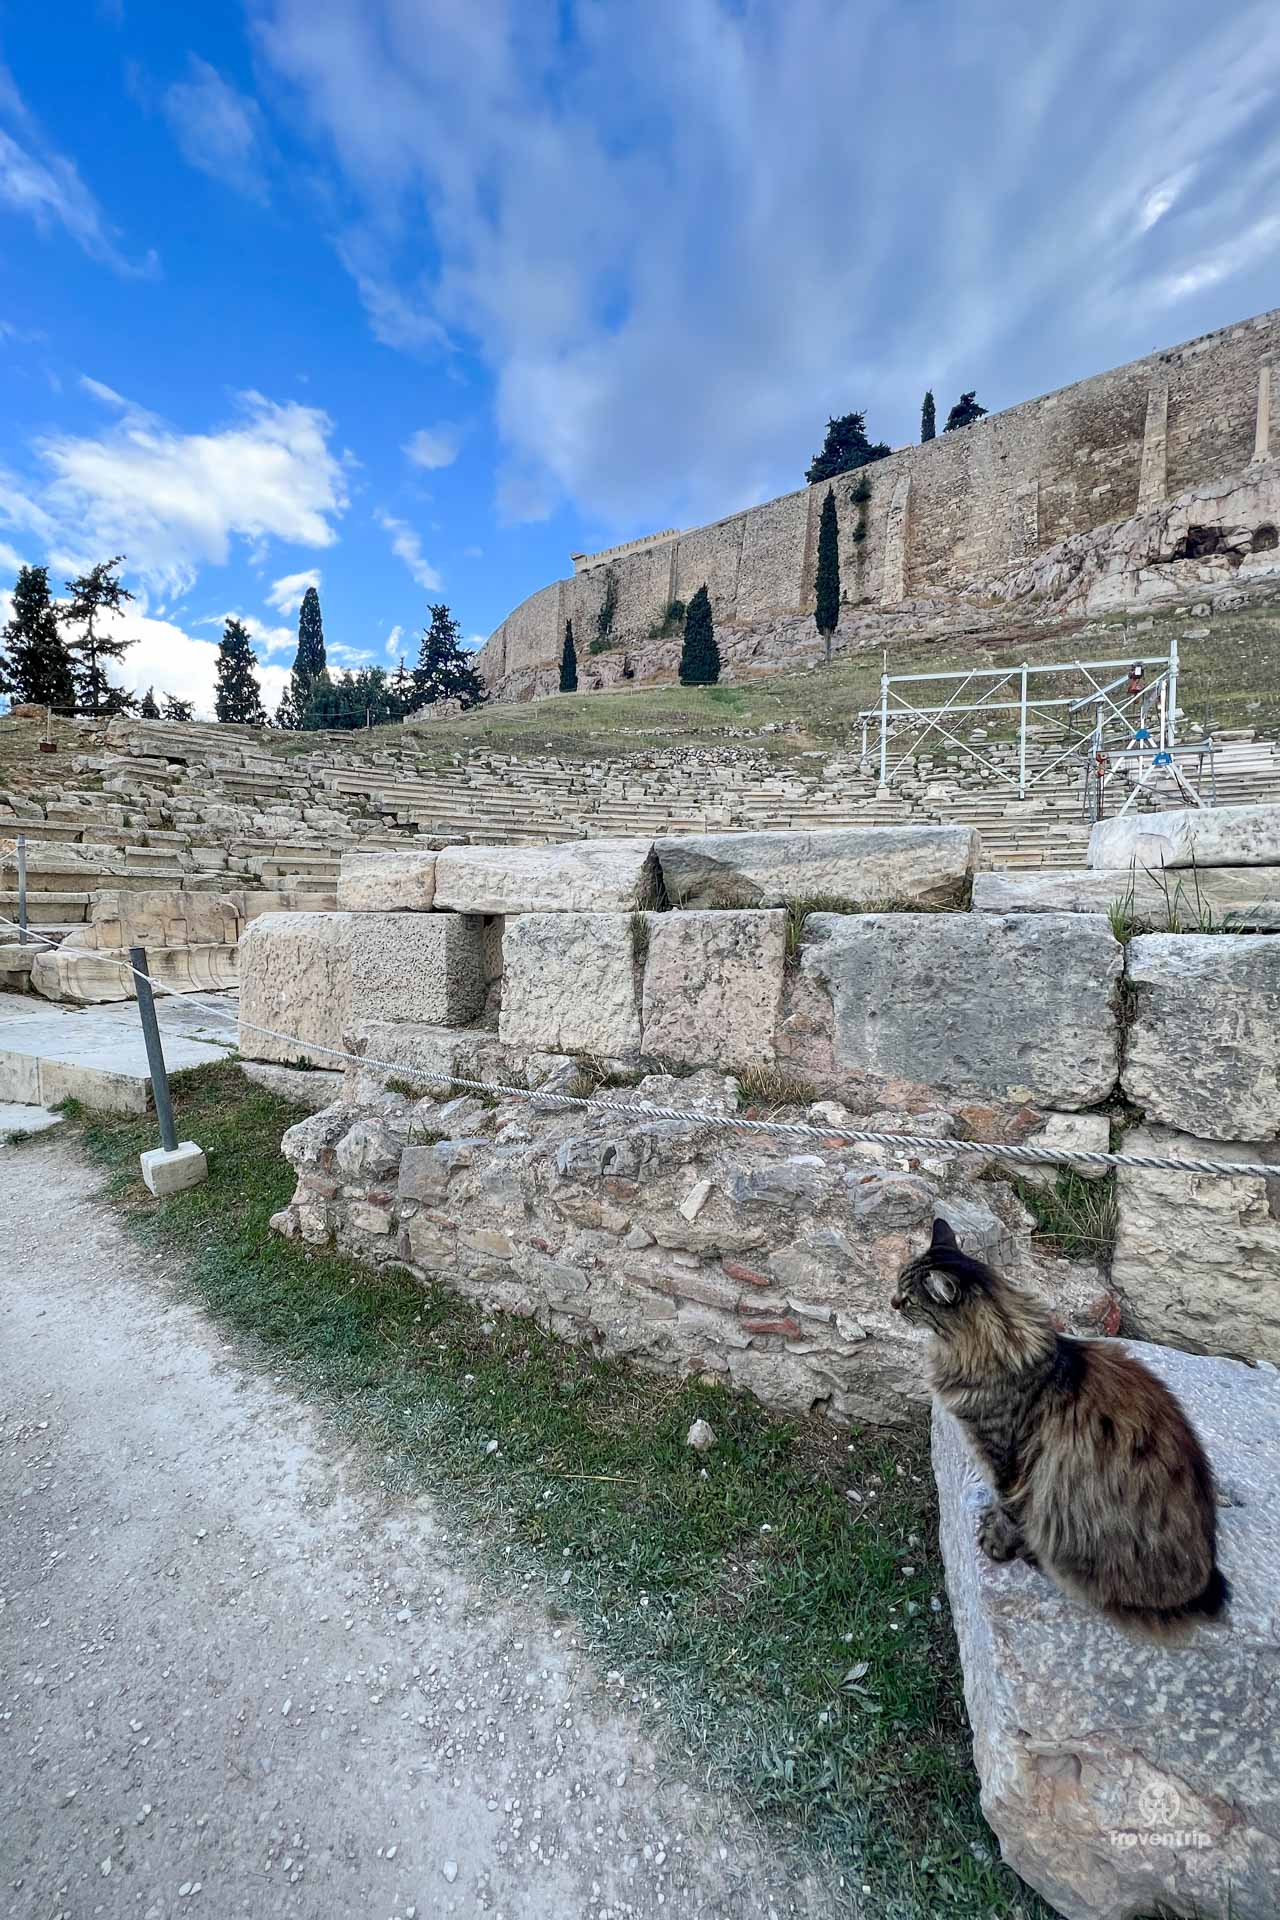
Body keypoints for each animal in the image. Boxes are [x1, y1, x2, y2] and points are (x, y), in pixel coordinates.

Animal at [890, 1213, 1228, 1635]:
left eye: (908, 1298)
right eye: (898, 1285)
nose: (891, 1302)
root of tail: (1205, 1581)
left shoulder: (1008, 1459)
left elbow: (1010, 1511)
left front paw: (996, 1542)